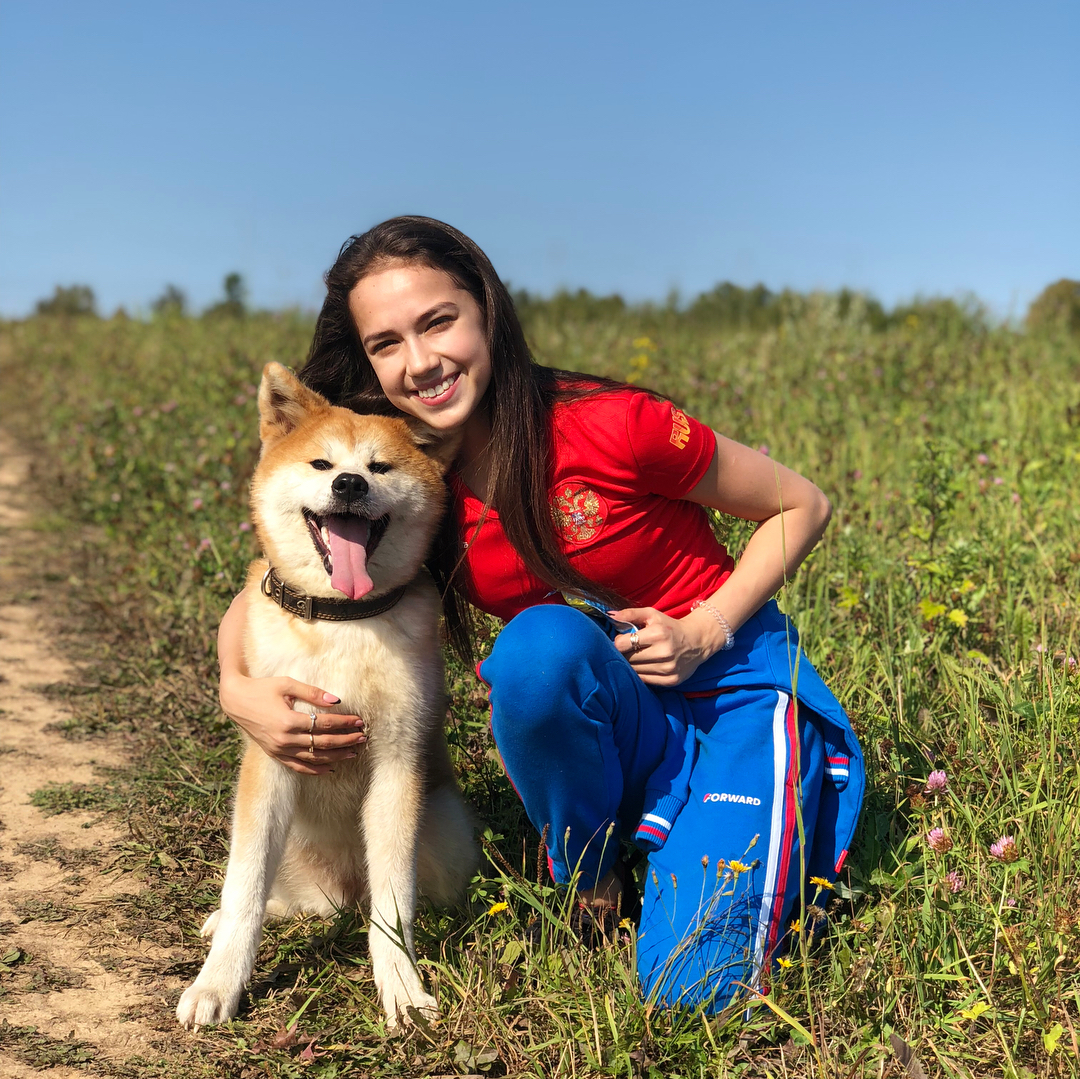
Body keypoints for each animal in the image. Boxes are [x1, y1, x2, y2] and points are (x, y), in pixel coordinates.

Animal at [177, 362, 477, 1028]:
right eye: (321, 463)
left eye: (380, 467)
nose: (348, 483)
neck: (343, 618)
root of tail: (339, 892)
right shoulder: (271, 758)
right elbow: (244, 889)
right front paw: (218, 983)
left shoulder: (397, 763)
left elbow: (394, 907)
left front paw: (401, 986)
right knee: (272, 896)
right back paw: (223, 921)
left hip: (444, 828)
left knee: (394, 900)